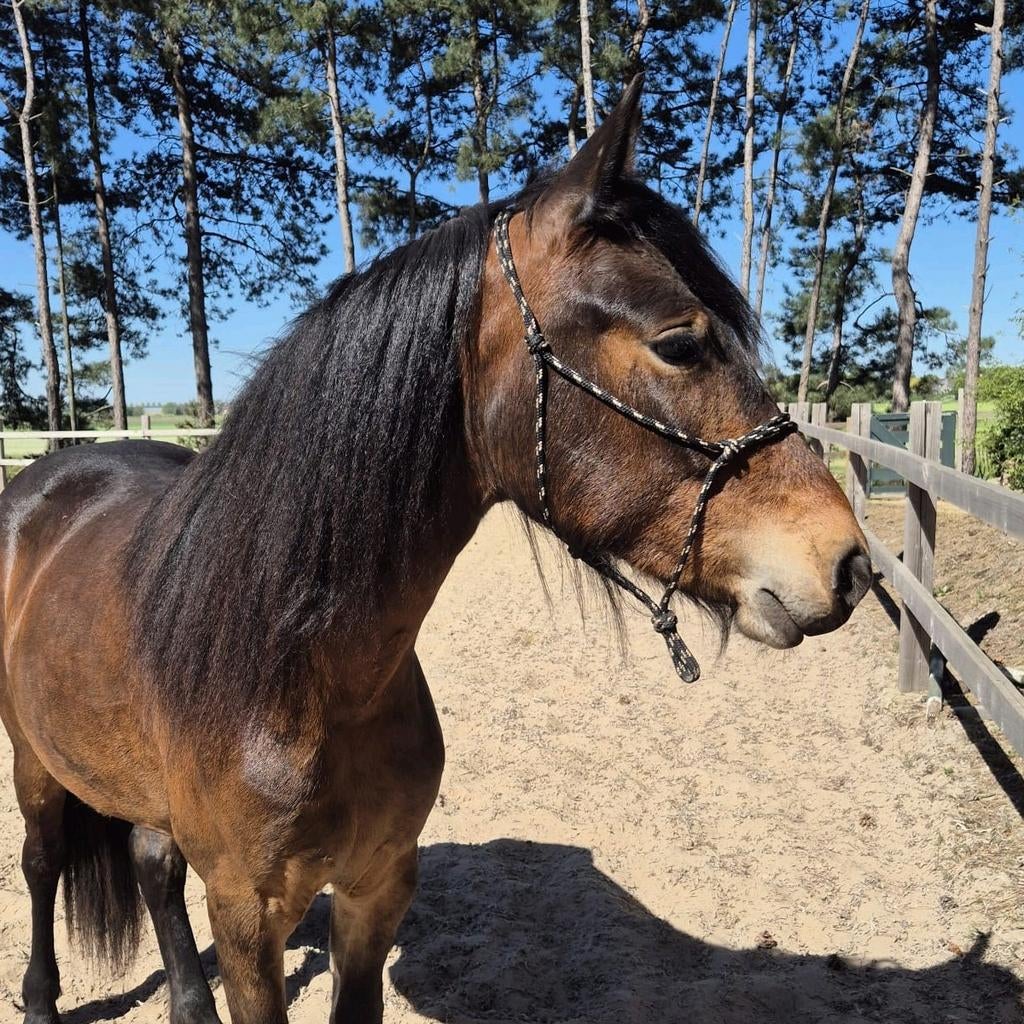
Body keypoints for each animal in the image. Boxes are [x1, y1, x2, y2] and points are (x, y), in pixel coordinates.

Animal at [0, 77, 870, 1024]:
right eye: (680, 343)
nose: (851, 564)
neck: (299, 675)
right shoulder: (244, 916)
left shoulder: (377, 890)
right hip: (34, 762)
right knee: (42, 864)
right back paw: (40, 998)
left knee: (153, 864)